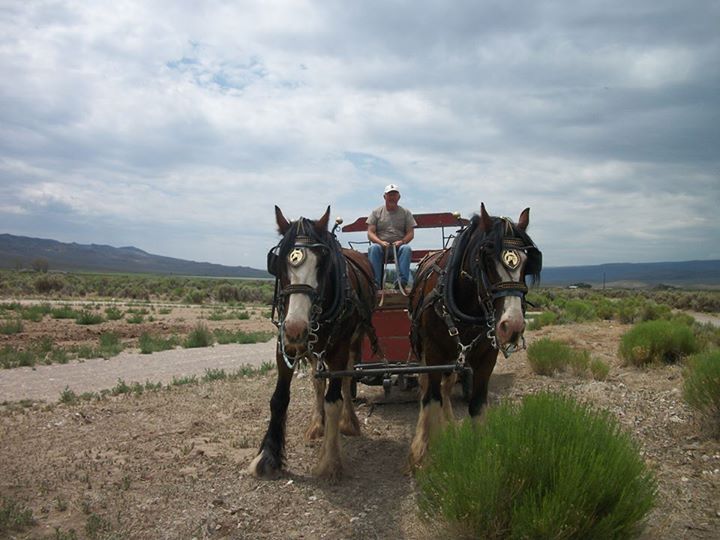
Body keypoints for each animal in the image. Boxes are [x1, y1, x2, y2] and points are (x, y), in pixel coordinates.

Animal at [249, 207, 376, 480]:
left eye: (323, 263)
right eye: (278, 263)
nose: (297, 327)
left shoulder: (339, 350)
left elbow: (334, 400)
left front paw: (330, 460)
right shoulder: (285, 346)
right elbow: (279, 399)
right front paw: (268, 456)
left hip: (354, 341)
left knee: (347, 380)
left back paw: (349, 421)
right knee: (317, 382)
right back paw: (317, 424)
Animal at [408, 202, 544, 464]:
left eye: (526, 262)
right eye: (486, 258)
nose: (512, 326)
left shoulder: (486, 358)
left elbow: (477, 406)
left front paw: (481, 455)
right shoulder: (433, 354)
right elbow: (431, 399)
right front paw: (425, 450)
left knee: (446, 388)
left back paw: (449, 425)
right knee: (428, 389)